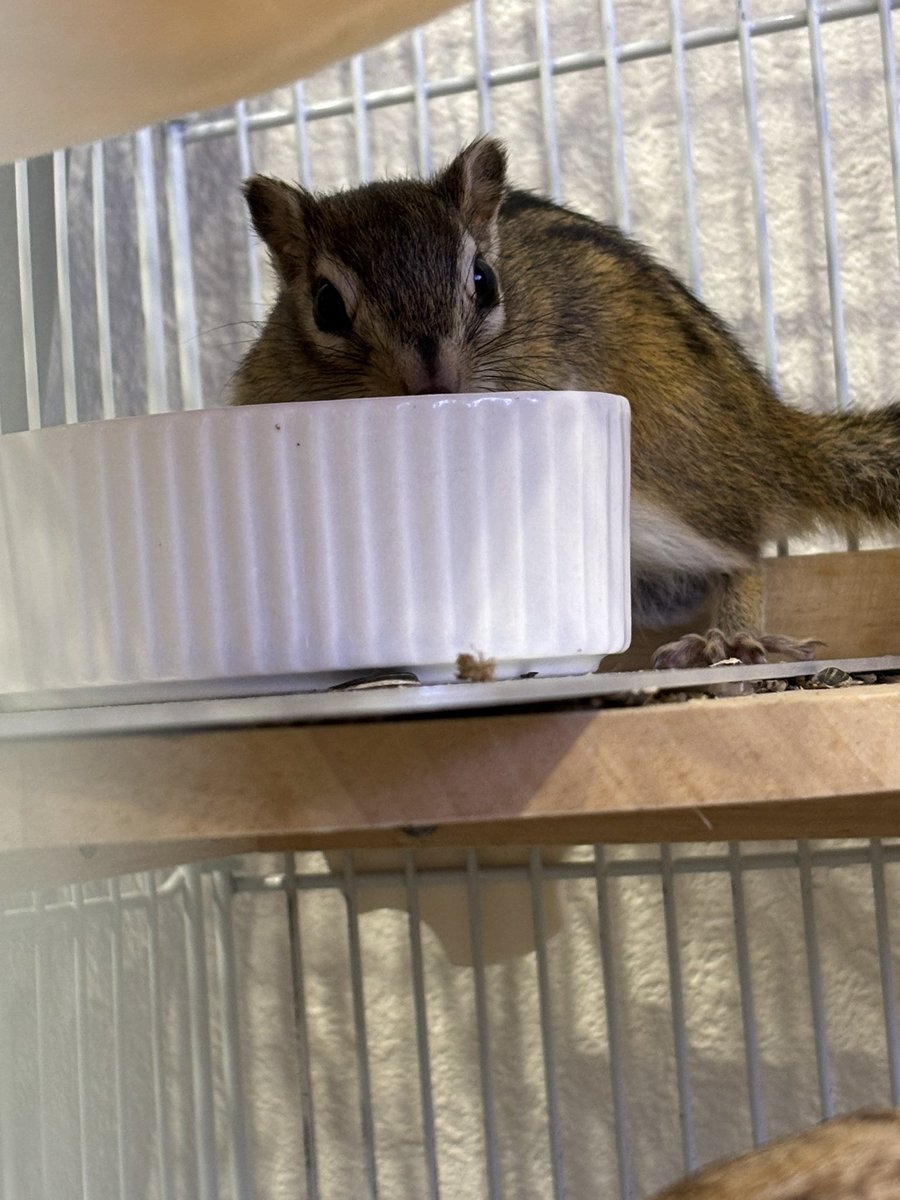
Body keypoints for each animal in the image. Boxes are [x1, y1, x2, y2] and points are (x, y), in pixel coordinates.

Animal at [233, 136, 900, 668]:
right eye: (325, 305)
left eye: (484, 280)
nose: (432, 379)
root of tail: (772, 434)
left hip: (666, 482)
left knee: (744, 555)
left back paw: (729, 638)